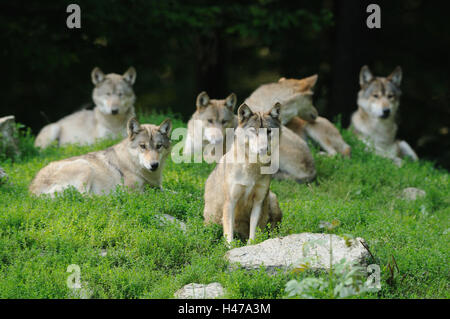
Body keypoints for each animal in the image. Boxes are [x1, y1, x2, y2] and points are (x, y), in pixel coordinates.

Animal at [29, 118, 171, 198]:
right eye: (143, 146)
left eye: (159, 146)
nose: (154, 165)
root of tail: (33, 191)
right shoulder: (136, 192)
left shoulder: (158, 187)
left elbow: (172, 191)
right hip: (84, 166)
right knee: (86, 198)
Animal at [203, 104, 282, 244]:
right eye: (254, 131)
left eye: (268, 131)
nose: (263, 149)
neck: (252, 167)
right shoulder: (230, 201)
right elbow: (229, 234)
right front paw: (230, 246)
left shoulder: (258, 202)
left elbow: (253, 232)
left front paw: (251, 245)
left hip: (272, 199)